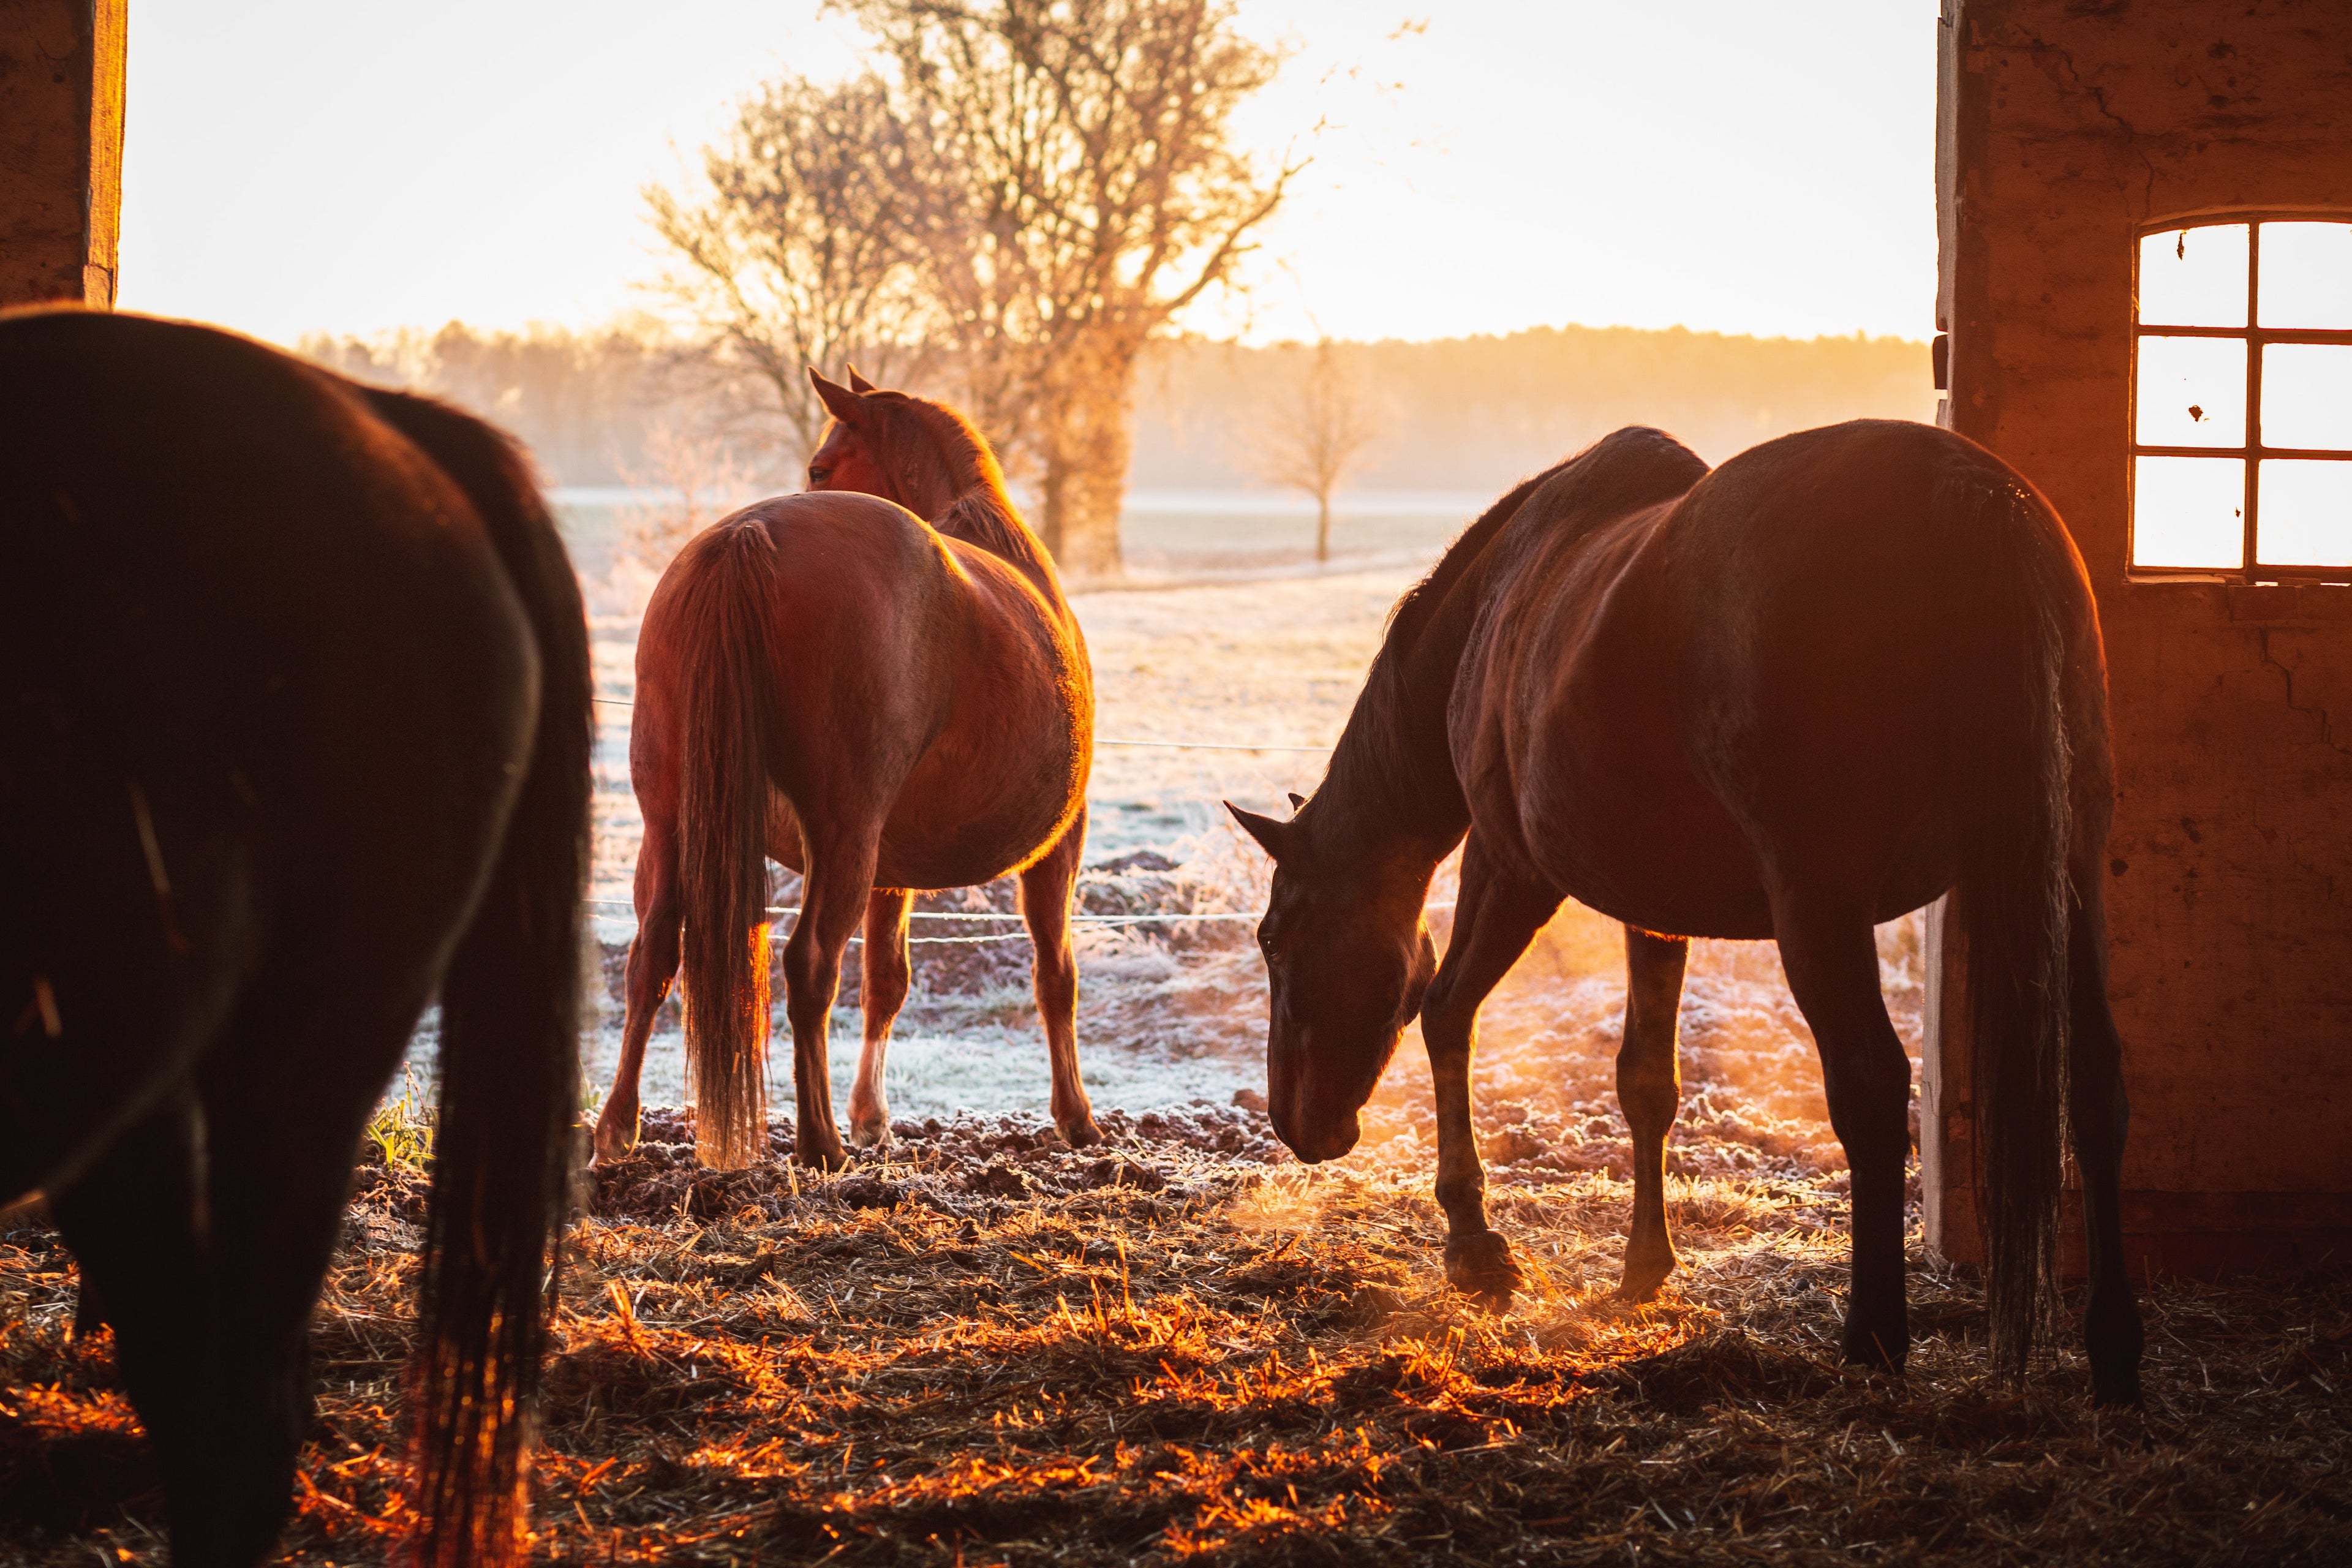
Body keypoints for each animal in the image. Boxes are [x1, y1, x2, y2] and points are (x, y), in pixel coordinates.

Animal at [592, 368, 1097, 1171]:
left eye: (820, 467)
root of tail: (748, 536)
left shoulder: (892, 865)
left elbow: (886, 980)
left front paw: (873, 1118)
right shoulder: (1059, 842)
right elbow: (1056, 974)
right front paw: (1075, 1118)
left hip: (670, 824)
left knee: (652, 958)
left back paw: (617, 1128)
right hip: (842, 836)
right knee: (810, 964)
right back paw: (819, 1140)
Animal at [1227, 420, 2145, 1405]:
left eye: (1274, 939)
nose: (1295, 1123)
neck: (1494, 608)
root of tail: (1972, 499)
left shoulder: (1510, 869)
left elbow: (1444, 1013)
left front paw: (1476, 1250)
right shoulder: (1655, 909)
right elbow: (1646, 1082)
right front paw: (1643, 1265)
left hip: (1818, 904)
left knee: (1870, 1086)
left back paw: (1873, 1338)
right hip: (2067, 869)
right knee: (2097, 1081)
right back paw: (2114, 1348)